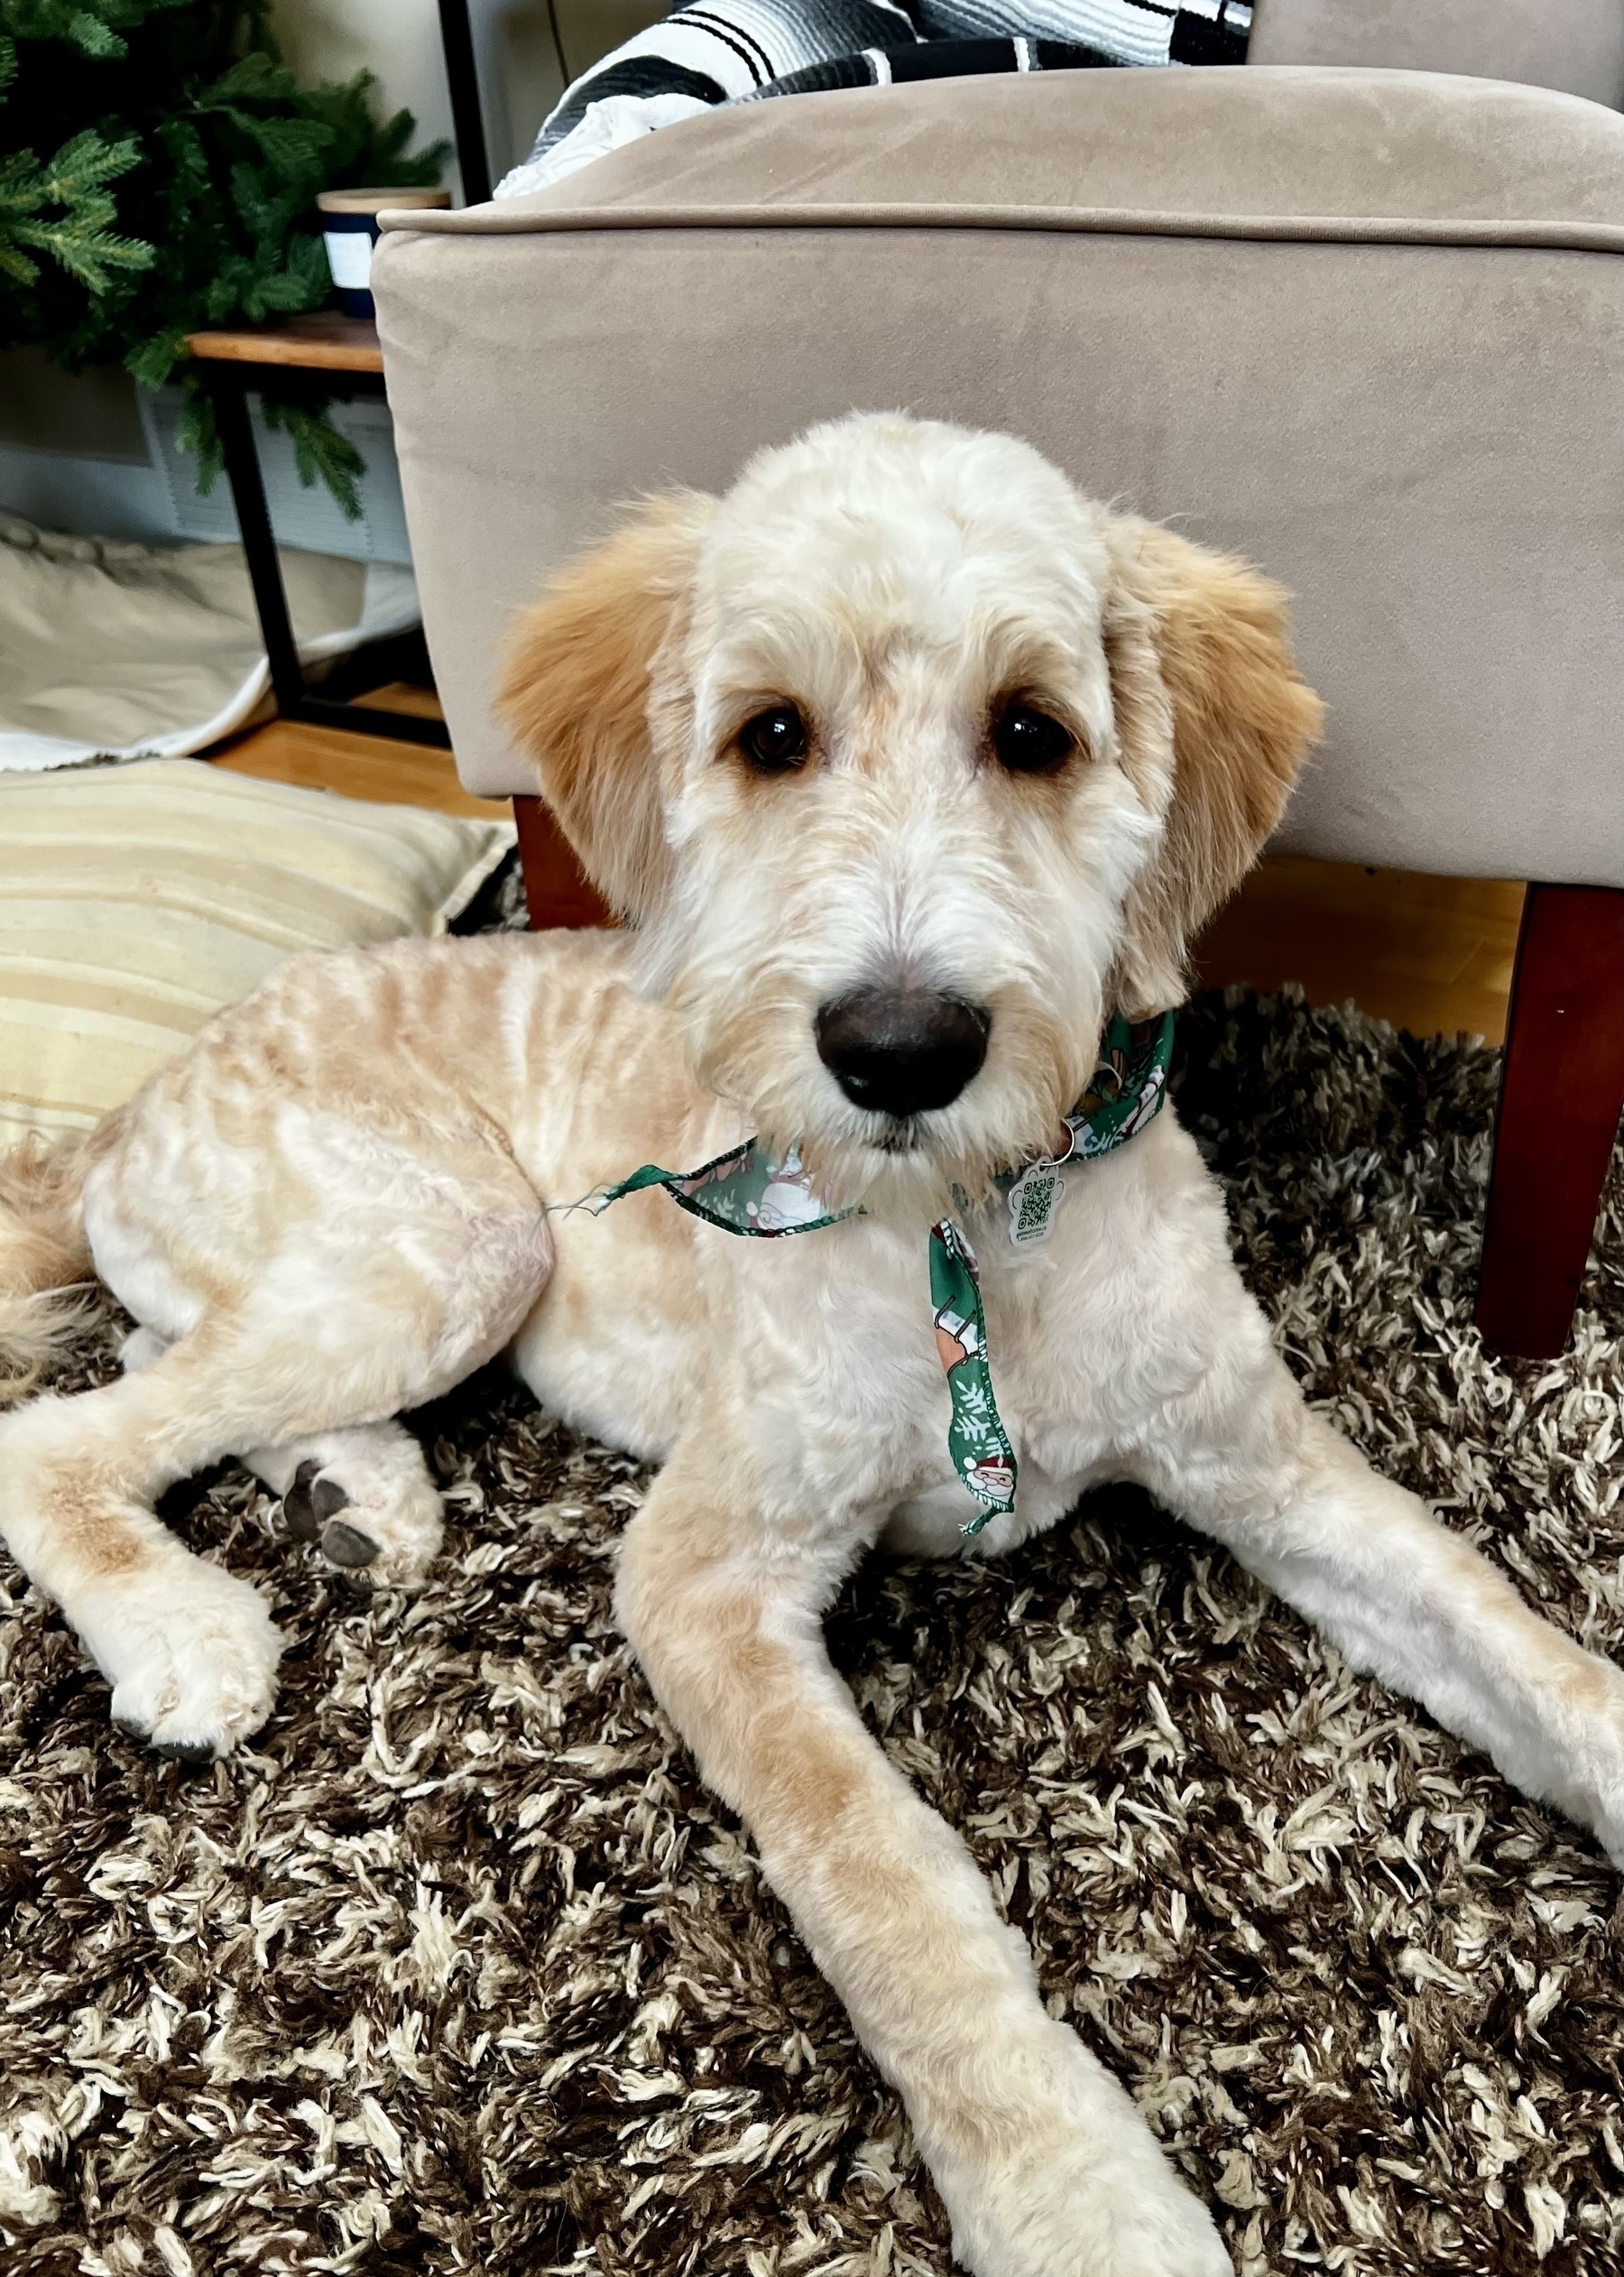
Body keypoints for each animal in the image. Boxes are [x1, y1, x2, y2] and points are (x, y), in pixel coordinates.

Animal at [3, 414, 1621, 2277]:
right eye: (771, 734)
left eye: (1033, 730)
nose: (900, 1047)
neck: (976, 1232)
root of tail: (119, 1112)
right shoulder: (705, 1571)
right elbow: (891, 1884)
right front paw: (1078, 2195)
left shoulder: (1265, 1458)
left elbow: (1512, 1637)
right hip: (457, 1243)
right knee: (62, 1432)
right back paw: (187, 1625)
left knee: (159, 1370)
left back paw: (361, 1501)